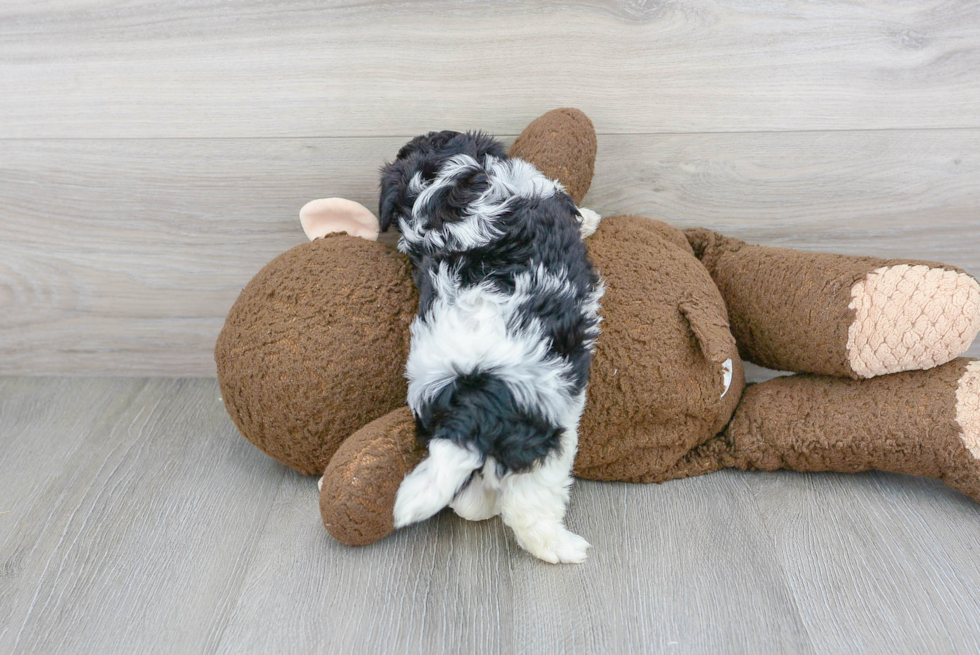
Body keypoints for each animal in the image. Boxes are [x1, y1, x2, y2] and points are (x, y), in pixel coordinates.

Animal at [378, 129, 600, 564]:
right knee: (527, 506)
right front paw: (592, 218)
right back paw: (563, 547)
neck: (440, 183)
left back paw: (479, 503)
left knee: (466, 494)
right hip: (550, 430)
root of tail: (471, 399)